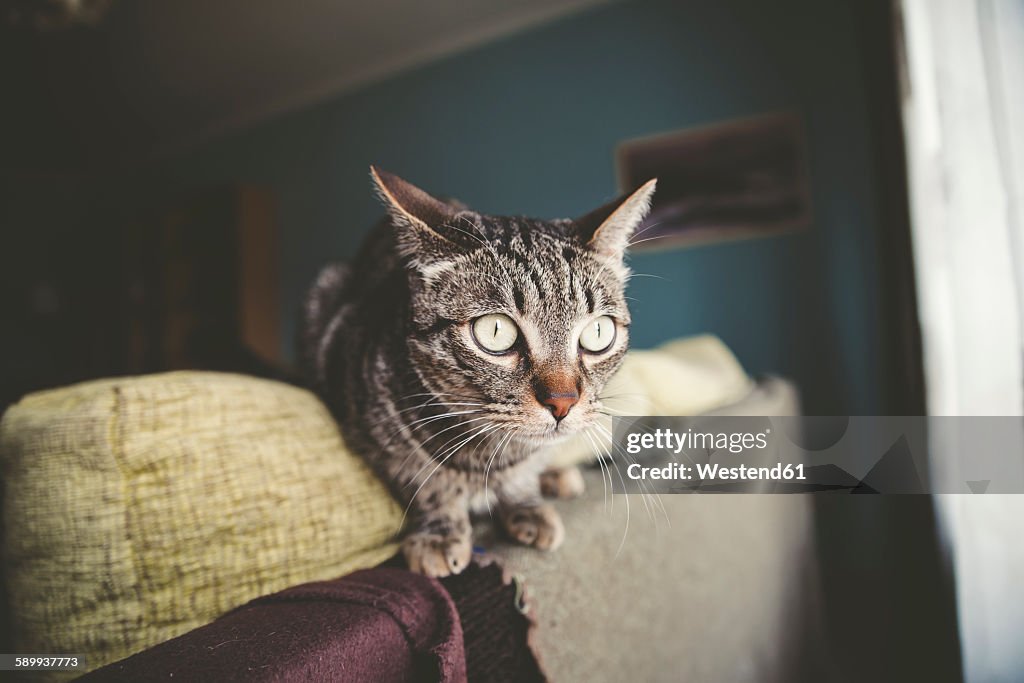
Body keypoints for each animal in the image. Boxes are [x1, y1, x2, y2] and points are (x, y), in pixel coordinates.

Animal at [303, 166, 655, 577]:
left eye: (598, 332)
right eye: (496, 331)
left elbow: (524, 476)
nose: (563, 402)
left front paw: (526, 502)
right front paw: (439, 532)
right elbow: (426, 483)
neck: (492, 456)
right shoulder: (383, 444)